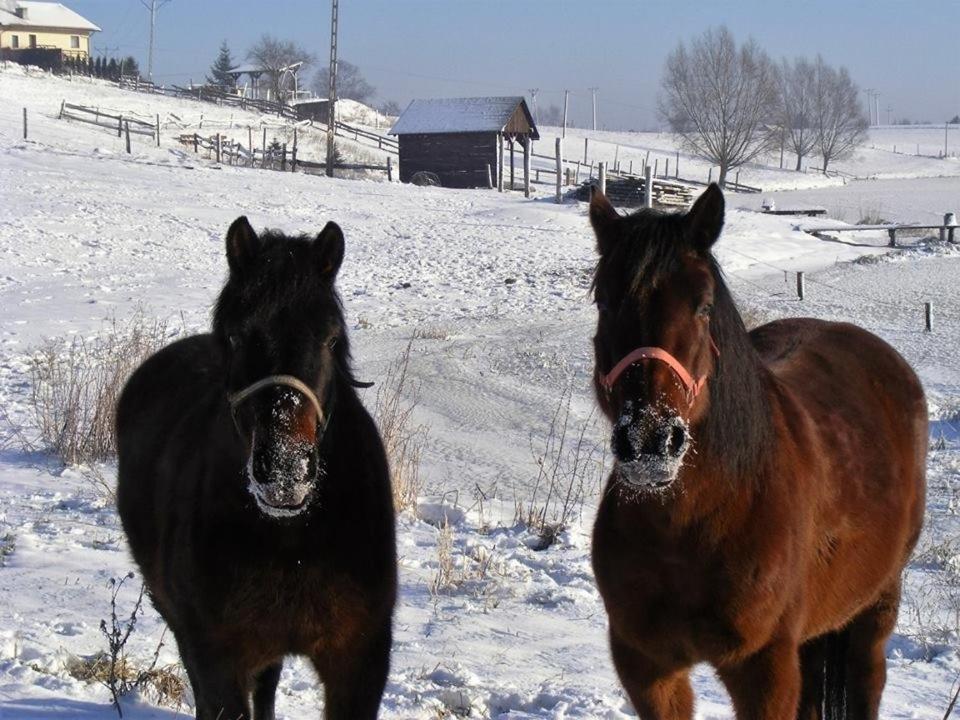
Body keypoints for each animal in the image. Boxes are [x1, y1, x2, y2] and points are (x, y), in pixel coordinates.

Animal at [117, 218, 398, 720]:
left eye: (330, 338)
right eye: (233, 336)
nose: (286, 471)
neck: (295, 540)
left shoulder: (359, 660)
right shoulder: (216, 657)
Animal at [588, 186, 928, 720]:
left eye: (704, 306)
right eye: (603, 301)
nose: (649, 443)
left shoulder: (764, 669)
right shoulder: (647, 669)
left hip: (875, 608)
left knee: (867, 677)